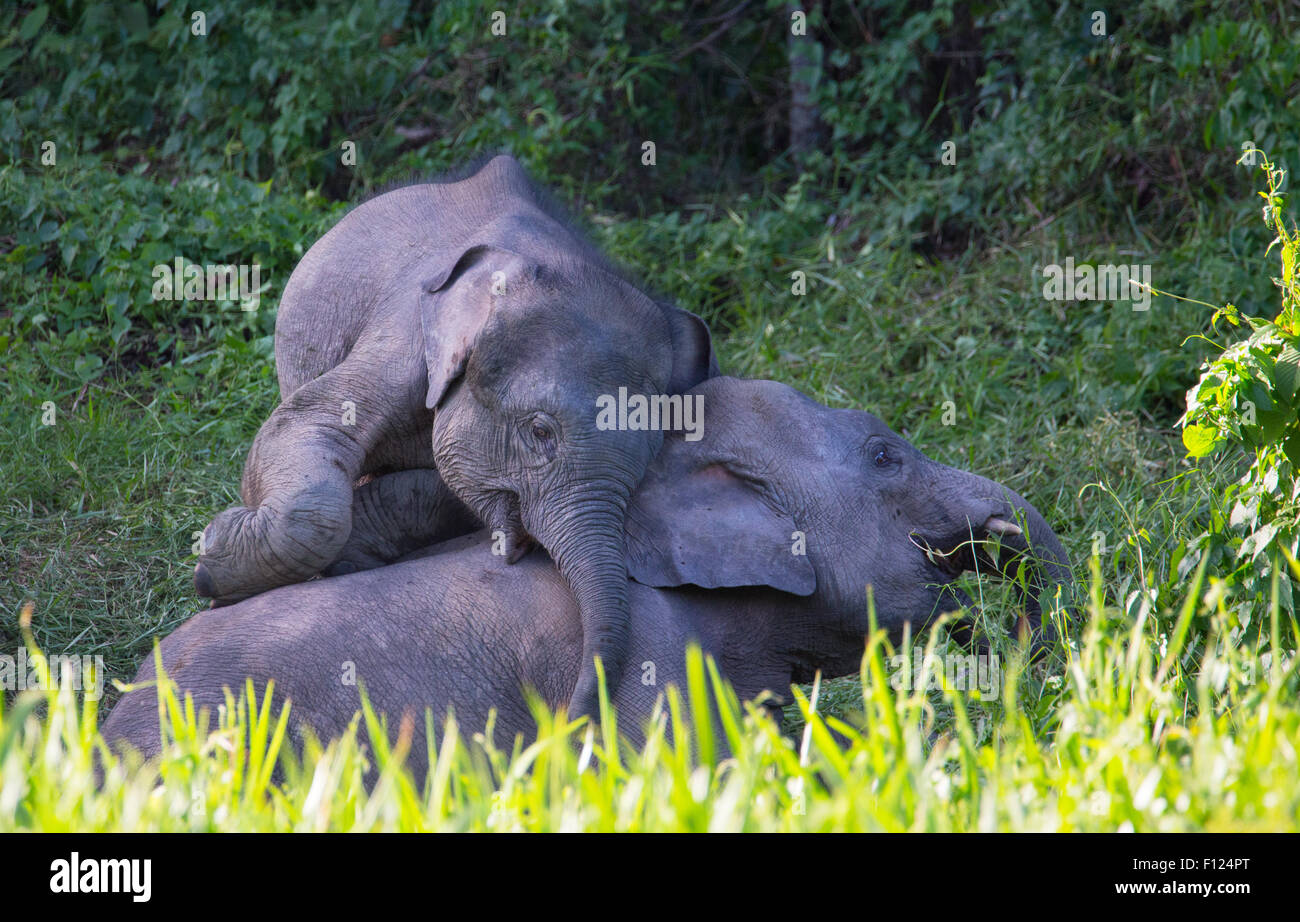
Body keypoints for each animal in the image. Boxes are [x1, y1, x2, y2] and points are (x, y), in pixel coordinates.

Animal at [191, 152, 717, 717]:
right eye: (540, 431)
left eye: (648, 465)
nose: (572, 718)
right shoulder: (403, 337)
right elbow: (301, 424)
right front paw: (213, 563)